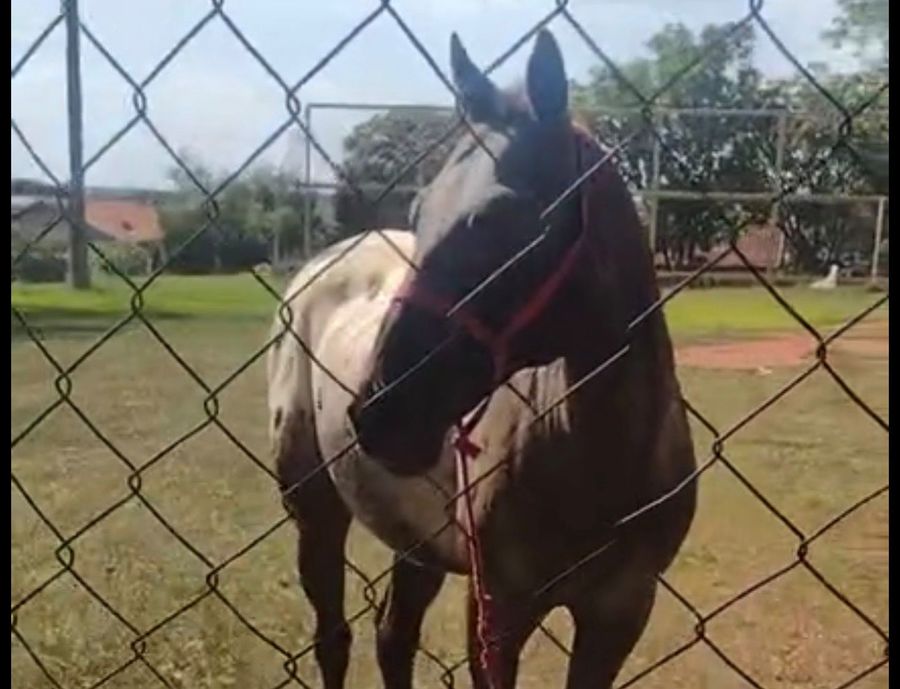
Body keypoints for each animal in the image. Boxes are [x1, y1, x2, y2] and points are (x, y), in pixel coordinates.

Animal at [267, 29, 697, 689]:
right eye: (418, 213)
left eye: (502, 218)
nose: (381, 412)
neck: (597, 464)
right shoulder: (498, 610)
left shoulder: (620, 613)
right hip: (314, 510)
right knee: (333, 639)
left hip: (415, 540)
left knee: (394, 636)